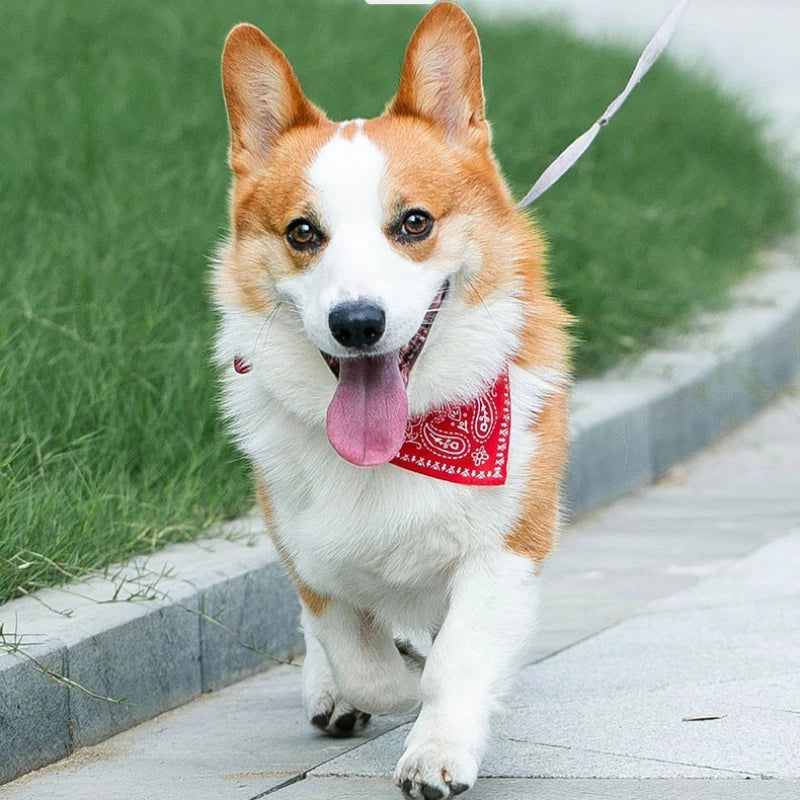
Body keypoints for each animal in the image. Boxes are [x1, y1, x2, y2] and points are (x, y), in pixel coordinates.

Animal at [216, 3, 572, 796]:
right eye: (302, 232)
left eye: (415, 222)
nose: (357, 323)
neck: (404, 442)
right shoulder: (311, 559)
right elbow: (364, 662)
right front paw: (377, 684)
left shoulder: (504, 548)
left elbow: (457, 662)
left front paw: (438, 751)